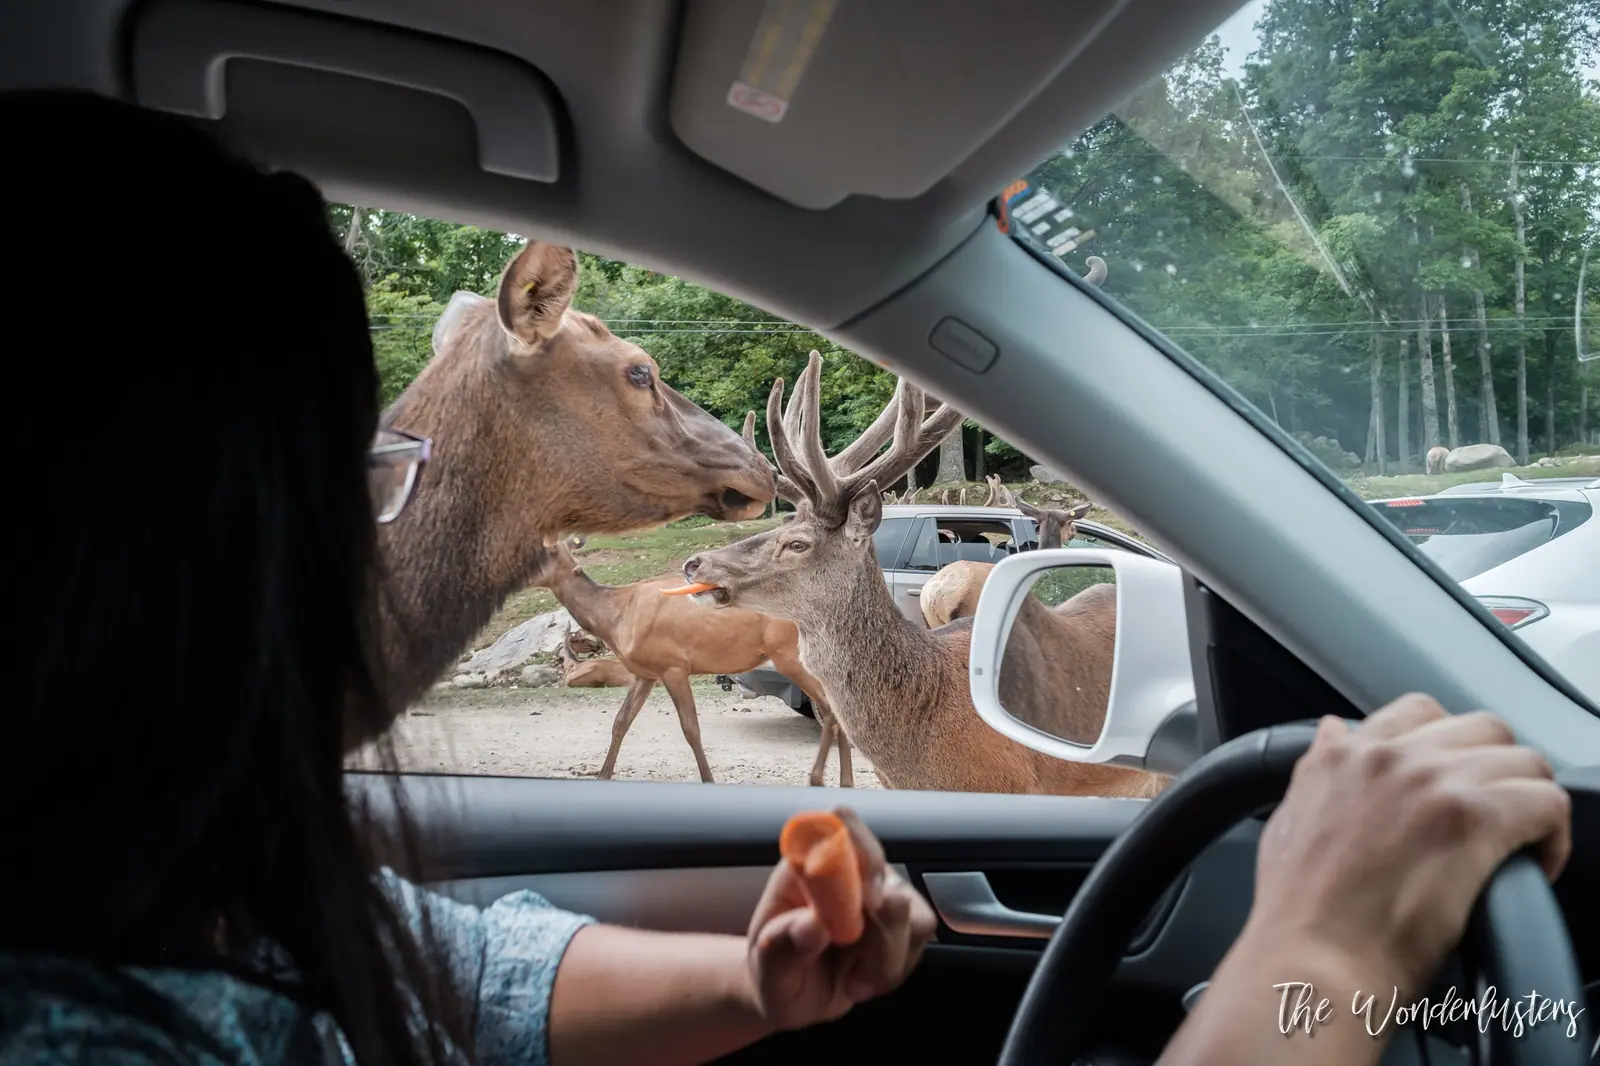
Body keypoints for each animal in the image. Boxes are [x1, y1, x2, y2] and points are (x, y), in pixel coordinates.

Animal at [527, 536, 854, 787]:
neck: (617, 617)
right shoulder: (646, 673)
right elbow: (620, 721)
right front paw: (603, 776)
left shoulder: (673, 665)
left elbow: (690, 728)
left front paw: (709, 779)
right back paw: (843, 780)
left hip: (790, 656)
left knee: (832, 711)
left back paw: (824, 778)